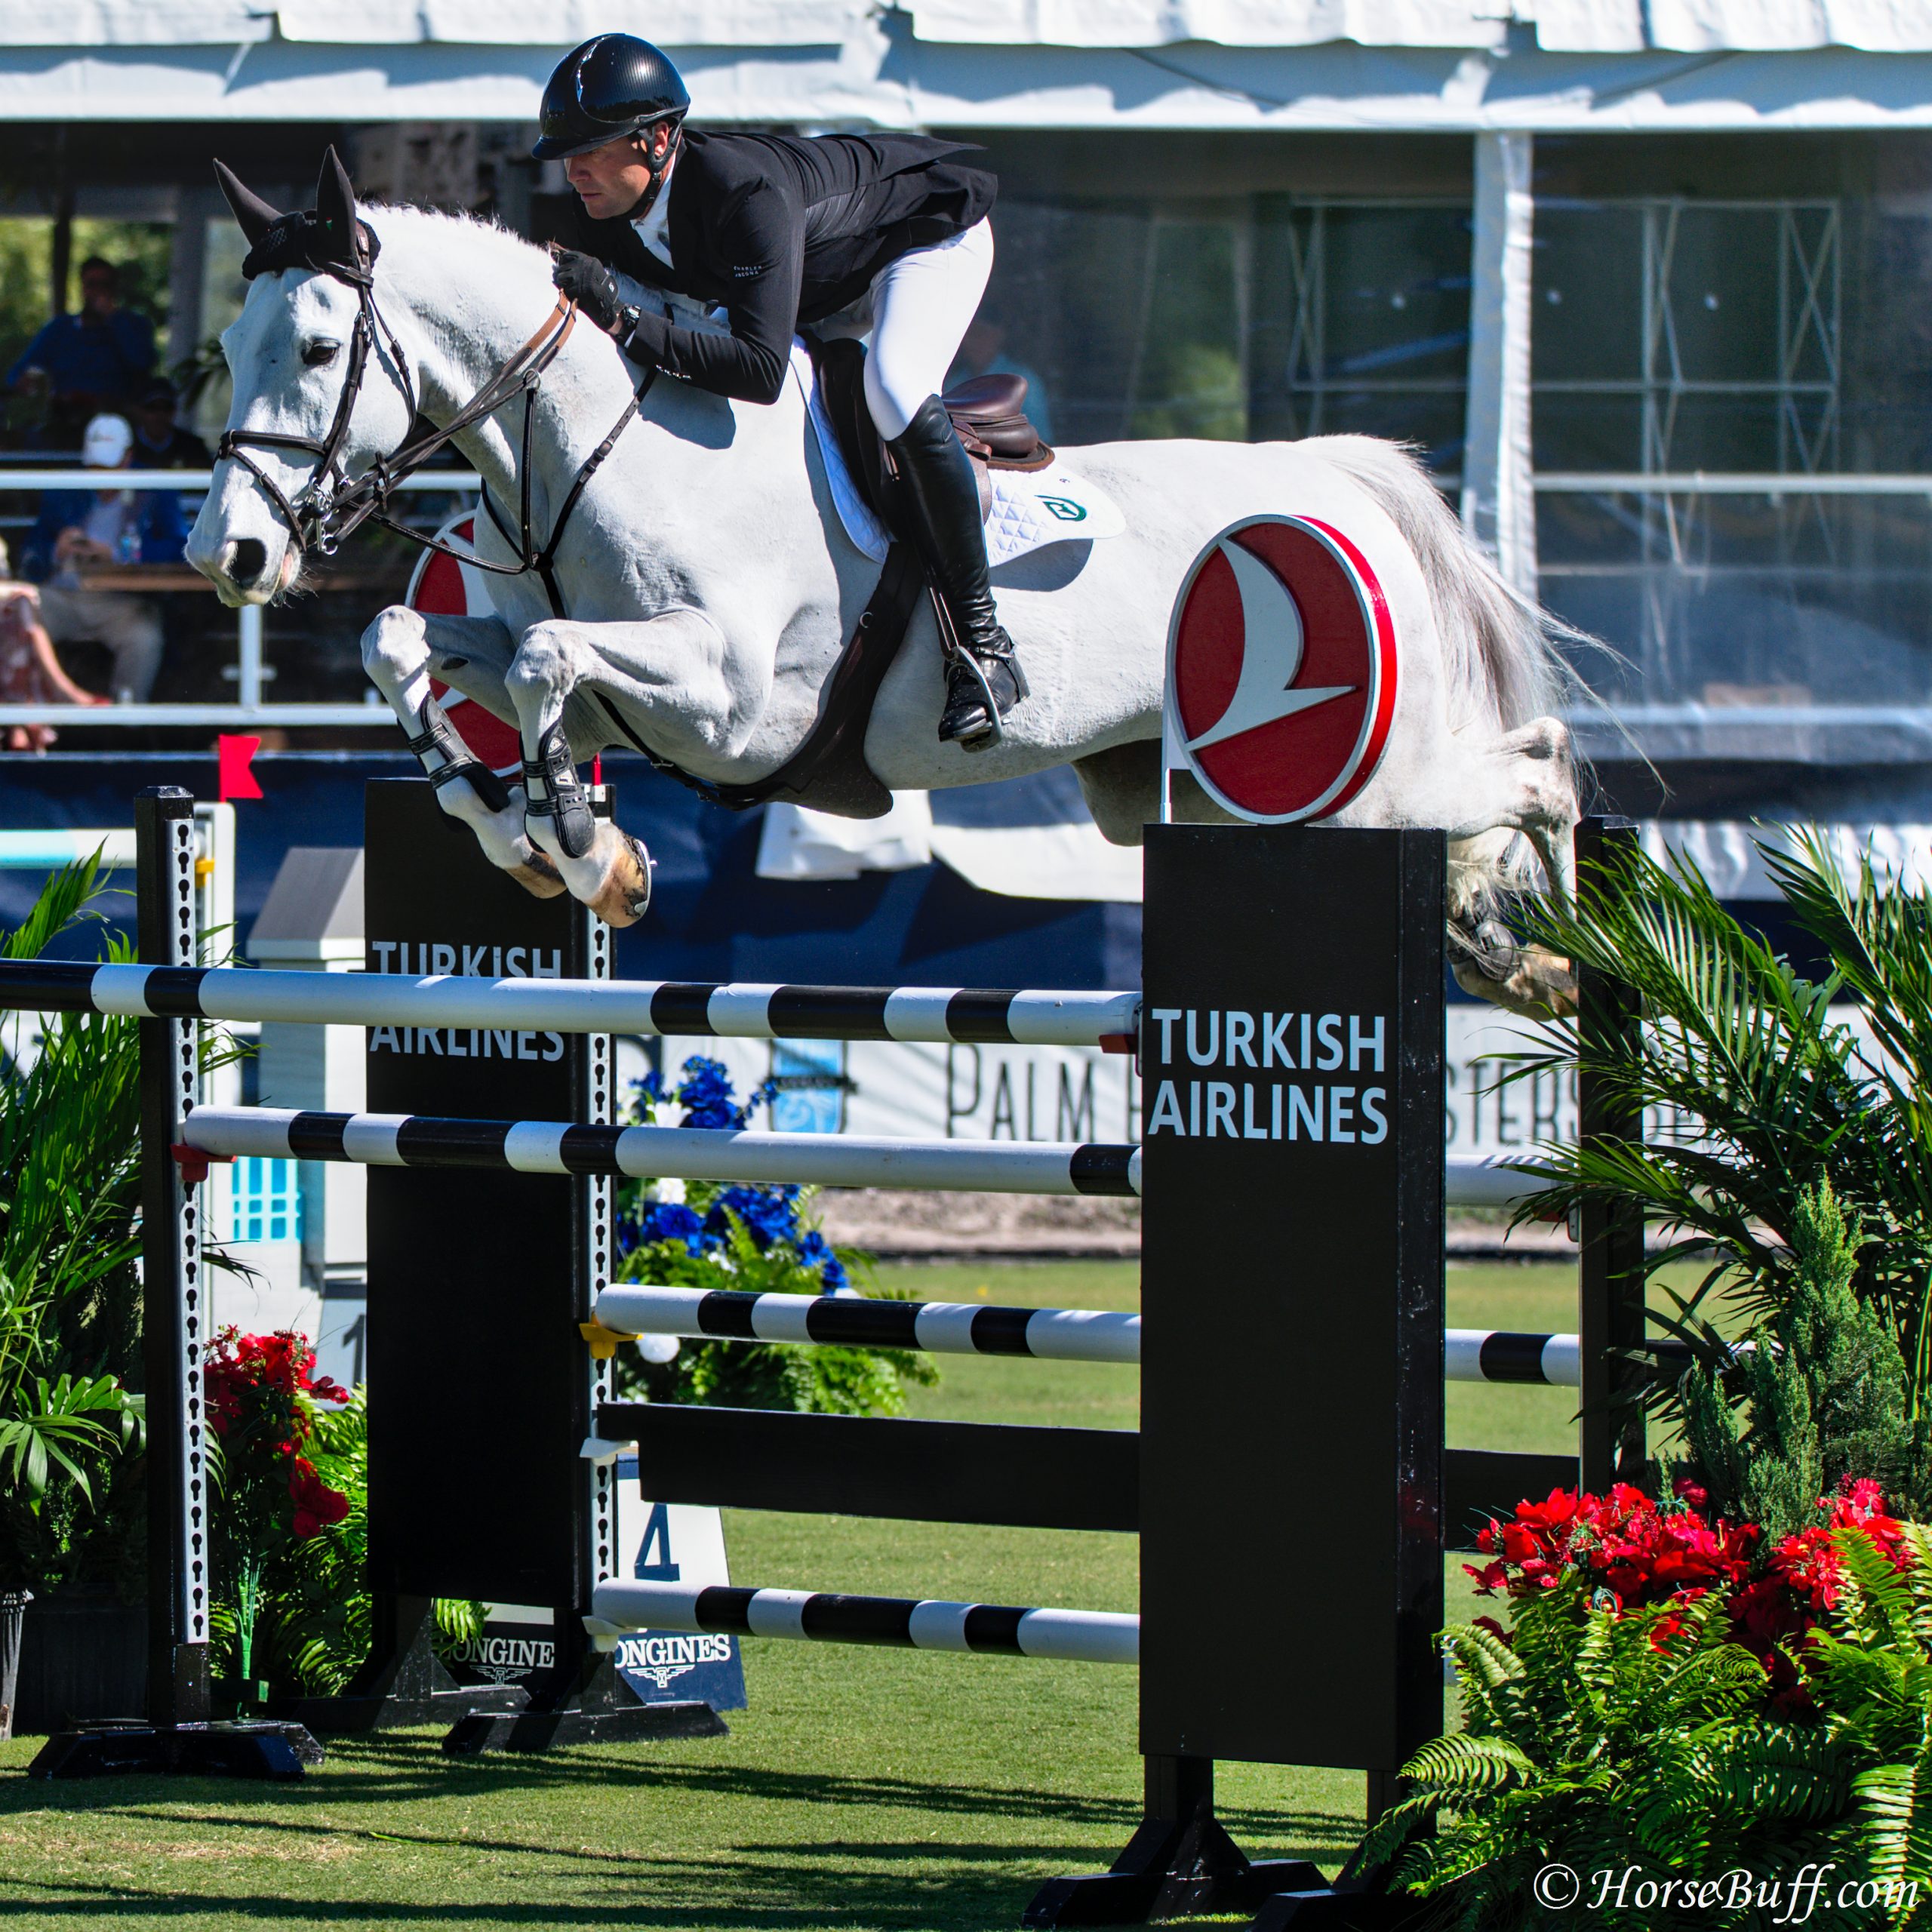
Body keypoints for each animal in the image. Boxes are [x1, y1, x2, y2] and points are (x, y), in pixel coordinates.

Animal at [188, 162, 1576, 1012]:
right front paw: (525, 831)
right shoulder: (602, 682)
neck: (593, 443)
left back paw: (1553, 947)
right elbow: (406, 640)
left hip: (1372, 779)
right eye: (228, 347)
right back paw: (1506, 952)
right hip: (1167, 796)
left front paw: (585, 847)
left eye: (318, 345)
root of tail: (1335, 478)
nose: (227, 557)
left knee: (1534, 770)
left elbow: (540, 663)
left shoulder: (732, 704)